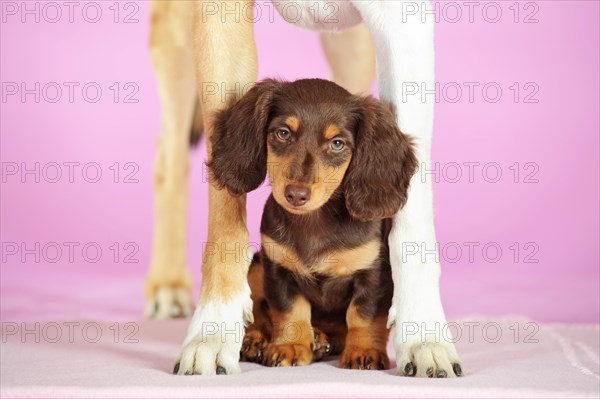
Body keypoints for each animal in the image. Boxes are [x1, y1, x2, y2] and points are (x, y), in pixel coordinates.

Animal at [207, 79, 418, 372]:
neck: (315, 221)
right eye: (283, 133)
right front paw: (290, 345)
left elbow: (363, 314)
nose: (296, 194)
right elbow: (289, 310)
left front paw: (363, 351)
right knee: (258, 312)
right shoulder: (278, 267)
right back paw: (257, 340)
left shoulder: (374, 272)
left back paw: (321, 340)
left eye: (337, 143)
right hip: (256, 265)